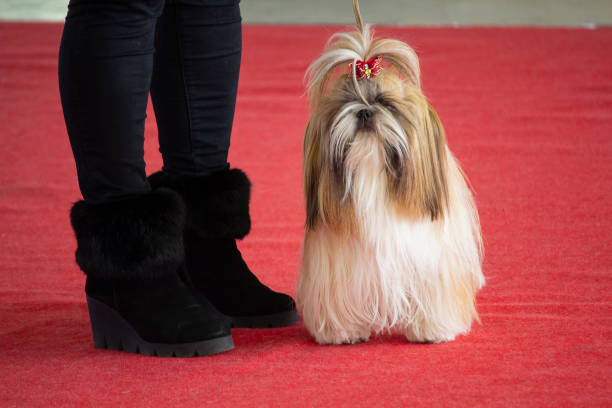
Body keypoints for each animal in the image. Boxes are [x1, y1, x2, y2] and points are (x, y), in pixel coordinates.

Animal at [298, 0, 486, 344]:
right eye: (346, 103)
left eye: (386, 103)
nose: (364, 111)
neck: (373, 173)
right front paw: (343, 331)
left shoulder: (428, 256)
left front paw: (432, 329)